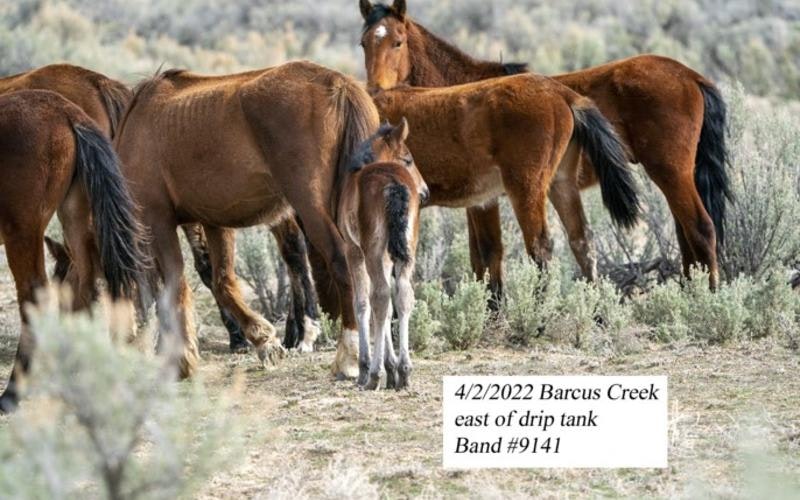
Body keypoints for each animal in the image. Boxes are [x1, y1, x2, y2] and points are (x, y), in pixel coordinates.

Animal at [0, 90, 149, 413]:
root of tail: (67, 112)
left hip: (24, 230)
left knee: (36, 295)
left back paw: (12, 392)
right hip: (74, 216)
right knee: (85, 284)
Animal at [113, 61, 380, 379]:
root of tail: (337, 84)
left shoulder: (159, 221)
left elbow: (175, 287)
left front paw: (182, 358)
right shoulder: (213, 222)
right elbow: (222, 282)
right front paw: (264, 340)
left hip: (312, 207)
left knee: (343, 262)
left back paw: (348, 357)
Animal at [339, 118, 428, 390]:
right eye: (408, 159)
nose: (425, 192)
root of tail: (393, 183)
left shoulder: (352, 250)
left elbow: (362, 303)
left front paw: (368, 368)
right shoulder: (390, 255)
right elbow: (389, 310)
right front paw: (393, 370)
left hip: (373, 250)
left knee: (379, 296)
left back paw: (373, 375)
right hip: (407, 248)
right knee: (403, 295)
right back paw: (405, 371)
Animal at [358, 0, 732, 293]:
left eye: (398, 42)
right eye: (364, 43)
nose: (375, 90)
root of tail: (691, 75)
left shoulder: (485, 201)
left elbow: (490, 253)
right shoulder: (479, 200)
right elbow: (481, 258)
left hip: (670, 172)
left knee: (701, 228)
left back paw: (708, 296)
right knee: (686, 235)